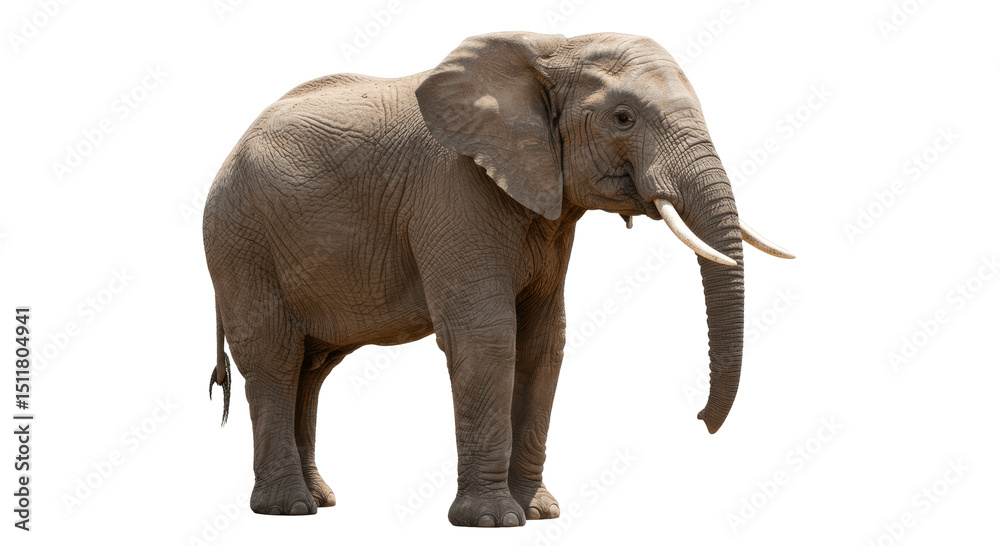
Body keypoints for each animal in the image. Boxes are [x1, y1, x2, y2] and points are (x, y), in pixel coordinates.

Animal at [203, 31, 793, 527]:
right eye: (623, 118)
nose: (699, 419)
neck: (552, 51)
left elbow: (543, 341)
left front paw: (539, 514)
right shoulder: (453, 191)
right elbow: (486, 336)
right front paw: (491, 521)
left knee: (313, 368)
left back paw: (320, 499)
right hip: (240, 241)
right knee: (276, 357)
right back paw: (287, 509)